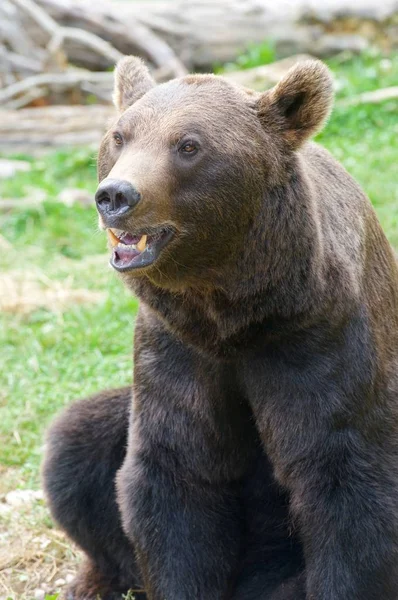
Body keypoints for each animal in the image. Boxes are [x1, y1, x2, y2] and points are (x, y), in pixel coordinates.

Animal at [42, 57, 398, 600]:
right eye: (120, 136)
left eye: (189, 145)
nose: (115, 195)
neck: (233, 312)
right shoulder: (176, 348)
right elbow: (177, 475)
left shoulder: (319, 340)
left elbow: (346, 480)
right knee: (74, 446)